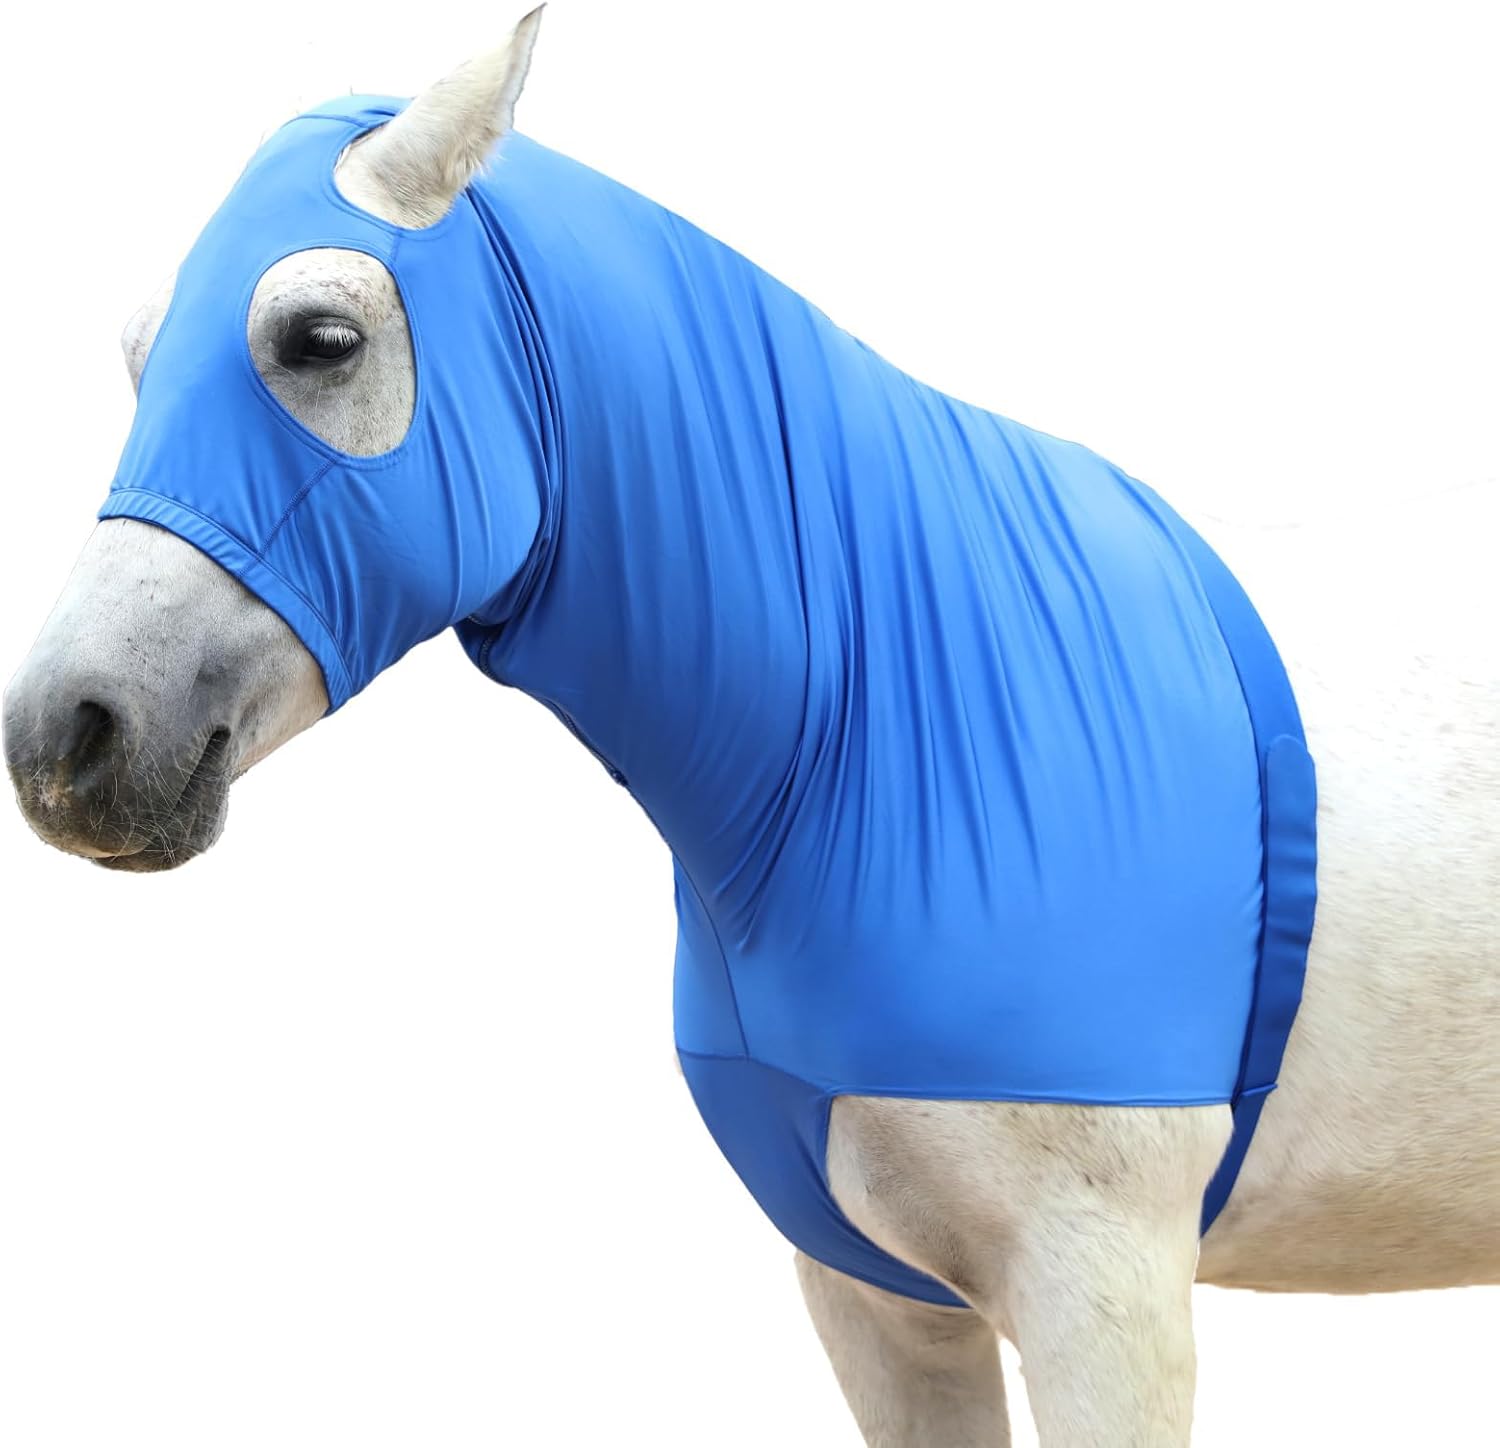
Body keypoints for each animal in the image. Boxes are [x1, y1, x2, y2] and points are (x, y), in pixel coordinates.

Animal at [4, 12, 1496, 1445]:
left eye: (319, 337)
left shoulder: (1105, 1300)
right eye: (137, 353)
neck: (886, 722)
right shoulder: (878, 1303)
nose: (65, 737)